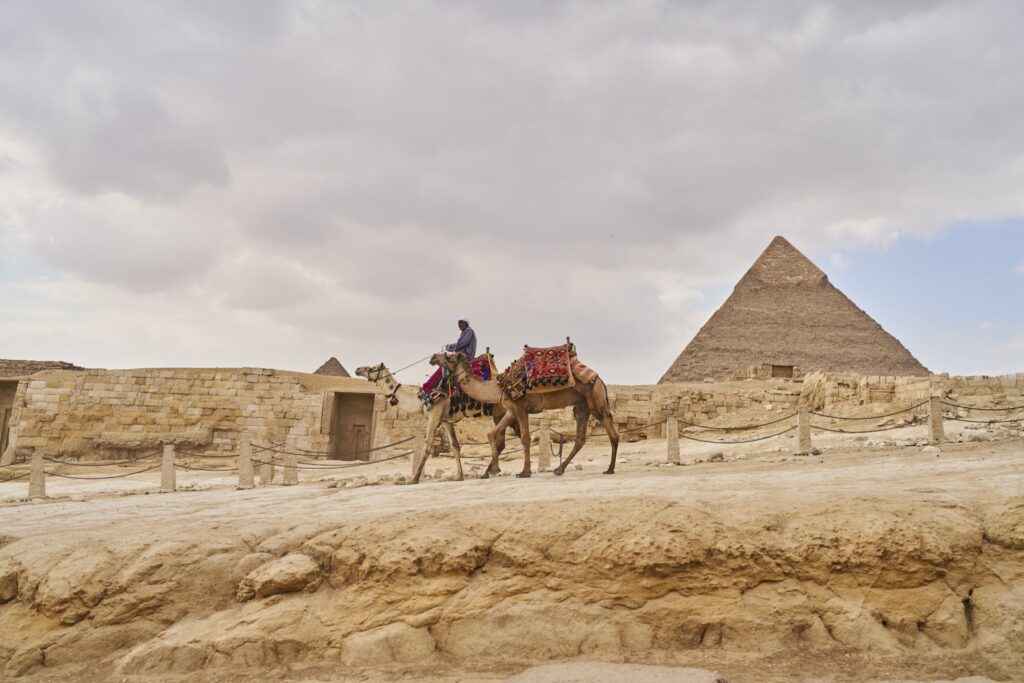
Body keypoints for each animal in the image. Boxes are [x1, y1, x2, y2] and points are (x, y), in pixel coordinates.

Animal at [425, 350, 614, 479]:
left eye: (448, 356)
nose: (433, 357)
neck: (500, 387)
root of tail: (599, 379)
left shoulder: (521, 407)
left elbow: (525, 438)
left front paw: (524, 471)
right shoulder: (510, 410)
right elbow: (492, 433)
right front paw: (494, 469)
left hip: (595, 400)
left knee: (613, 433)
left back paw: (609, 469)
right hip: (582, 406)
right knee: (581, 438)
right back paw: (561, 469)